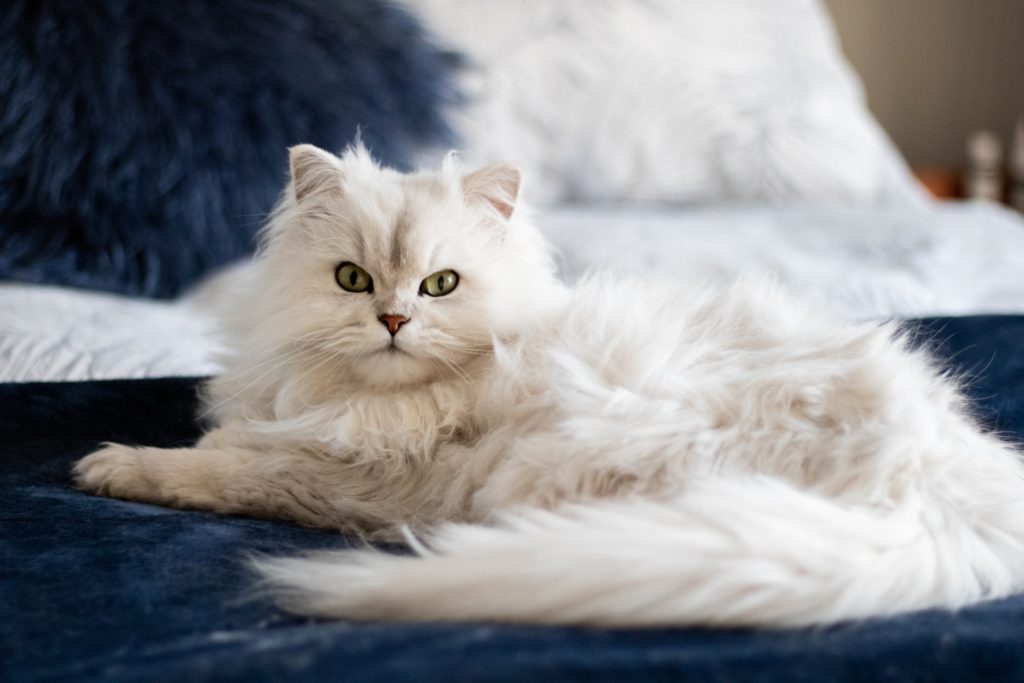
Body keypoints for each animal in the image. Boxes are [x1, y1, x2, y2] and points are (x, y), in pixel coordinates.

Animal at [75, 145, 1024, 630]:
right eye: (352, 279)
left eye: (440, 286)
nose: (393, 319)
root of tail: (941, 484)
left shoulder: (359, 478)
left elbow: (222, 466)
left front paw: (115, 464)